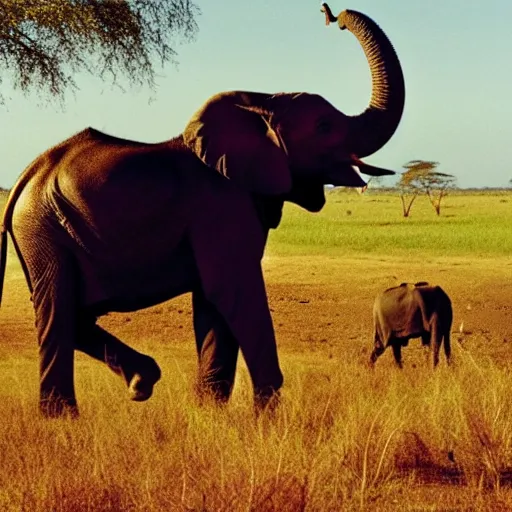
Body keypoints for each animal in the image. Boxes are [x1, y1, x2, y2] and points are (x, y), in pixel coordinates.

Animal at [0, 6, 406, 418]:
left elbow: (215, 303)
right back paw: (63, 417)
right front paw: (268, 415)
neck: (261, 103)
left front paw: (210, 410)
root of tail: (24, 178)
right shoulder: (221, 206)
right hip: (43, 230)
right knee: (58, 312)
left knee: (72, 313)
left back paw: (140, 382)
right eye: (324, 126)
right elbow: (233, 289)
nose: (332, 16)